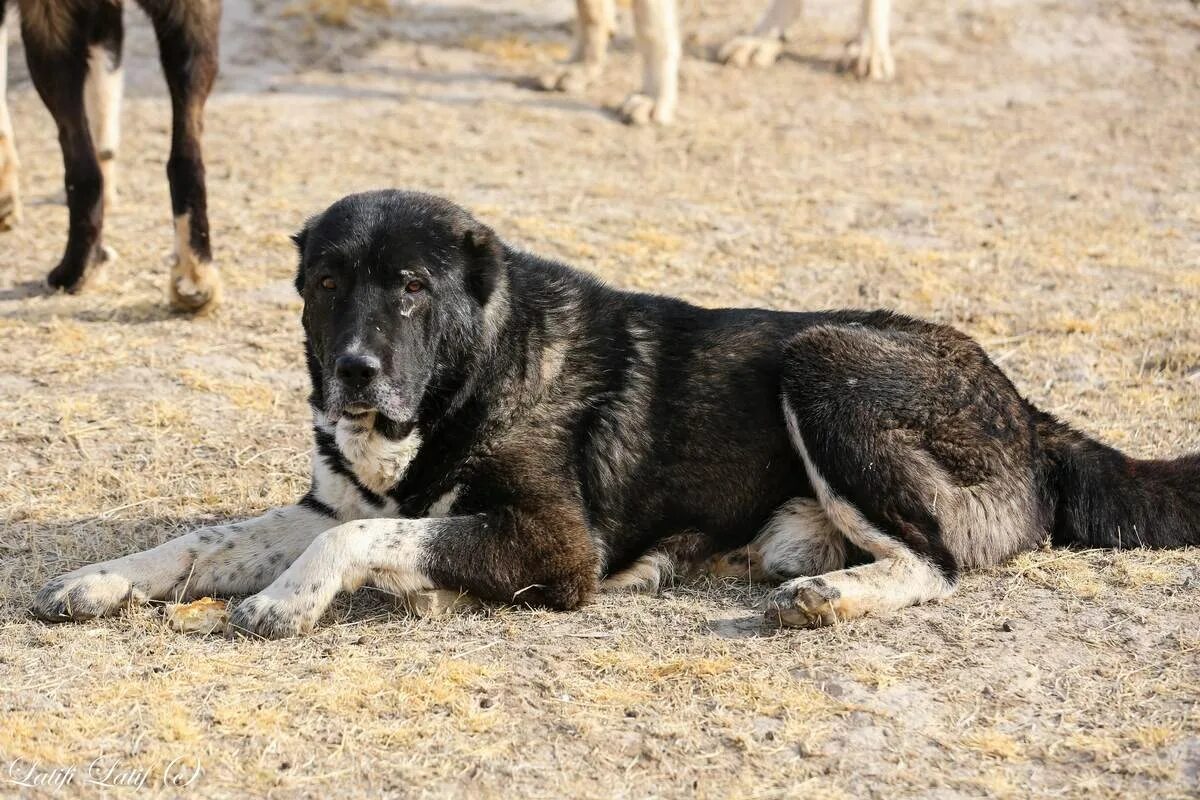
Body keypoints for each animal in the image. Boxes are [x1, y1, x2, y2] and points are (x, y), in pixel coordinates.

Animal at [30, 189, 1200, 638]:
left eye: (409, 286)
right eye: (324, 282)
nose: (352, 373)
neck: (472, 374)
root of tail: (1029, 408)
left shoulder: (552, 540)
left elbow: (367, 537)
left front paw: (288, 600)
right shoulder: (325, 505)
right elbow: (203, 538)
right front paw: (101, 579)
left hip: (825, 357)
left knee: (939, 563)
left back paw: (829, 594)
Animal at [542, 0, 892, 125]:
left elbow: (651, 27)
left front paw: (656, 97)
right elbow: (590, 11)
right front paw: (582, 66)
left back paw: (870, 47)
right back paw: (764, 39)